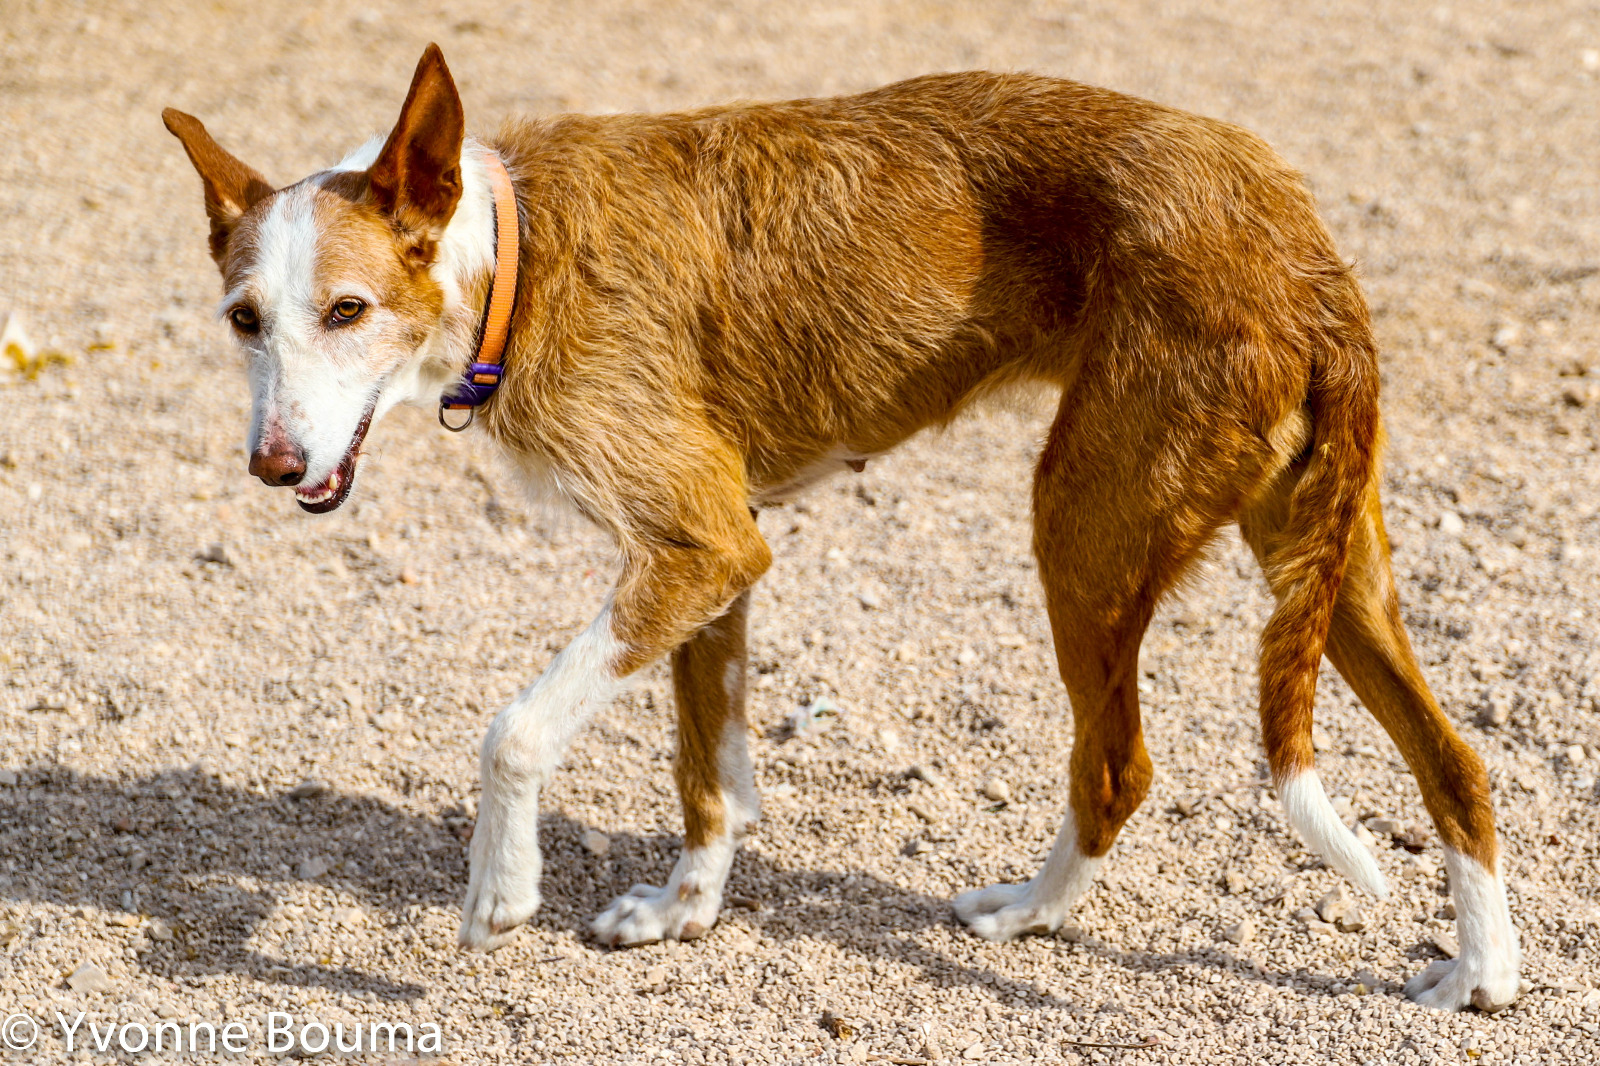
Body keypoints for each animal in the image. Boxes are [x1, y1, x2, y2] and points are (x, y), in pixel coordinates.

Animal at [165, 45, 1523, 1011]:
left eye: (347, 310)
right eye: (244, 320)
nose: (274, 466)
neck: (515, 252)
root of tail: (1303, 244)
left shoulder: (701, 543)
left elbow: (515, 729)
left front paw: (501, 894)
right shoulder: (713, 558)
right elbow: (708, 768)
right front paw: (683, 912)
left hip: (1082, 526)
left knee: (1117, 763)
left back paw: (1028, 914)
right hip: (1326, 564)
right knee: (1455, 763)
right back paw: (1483, 974)